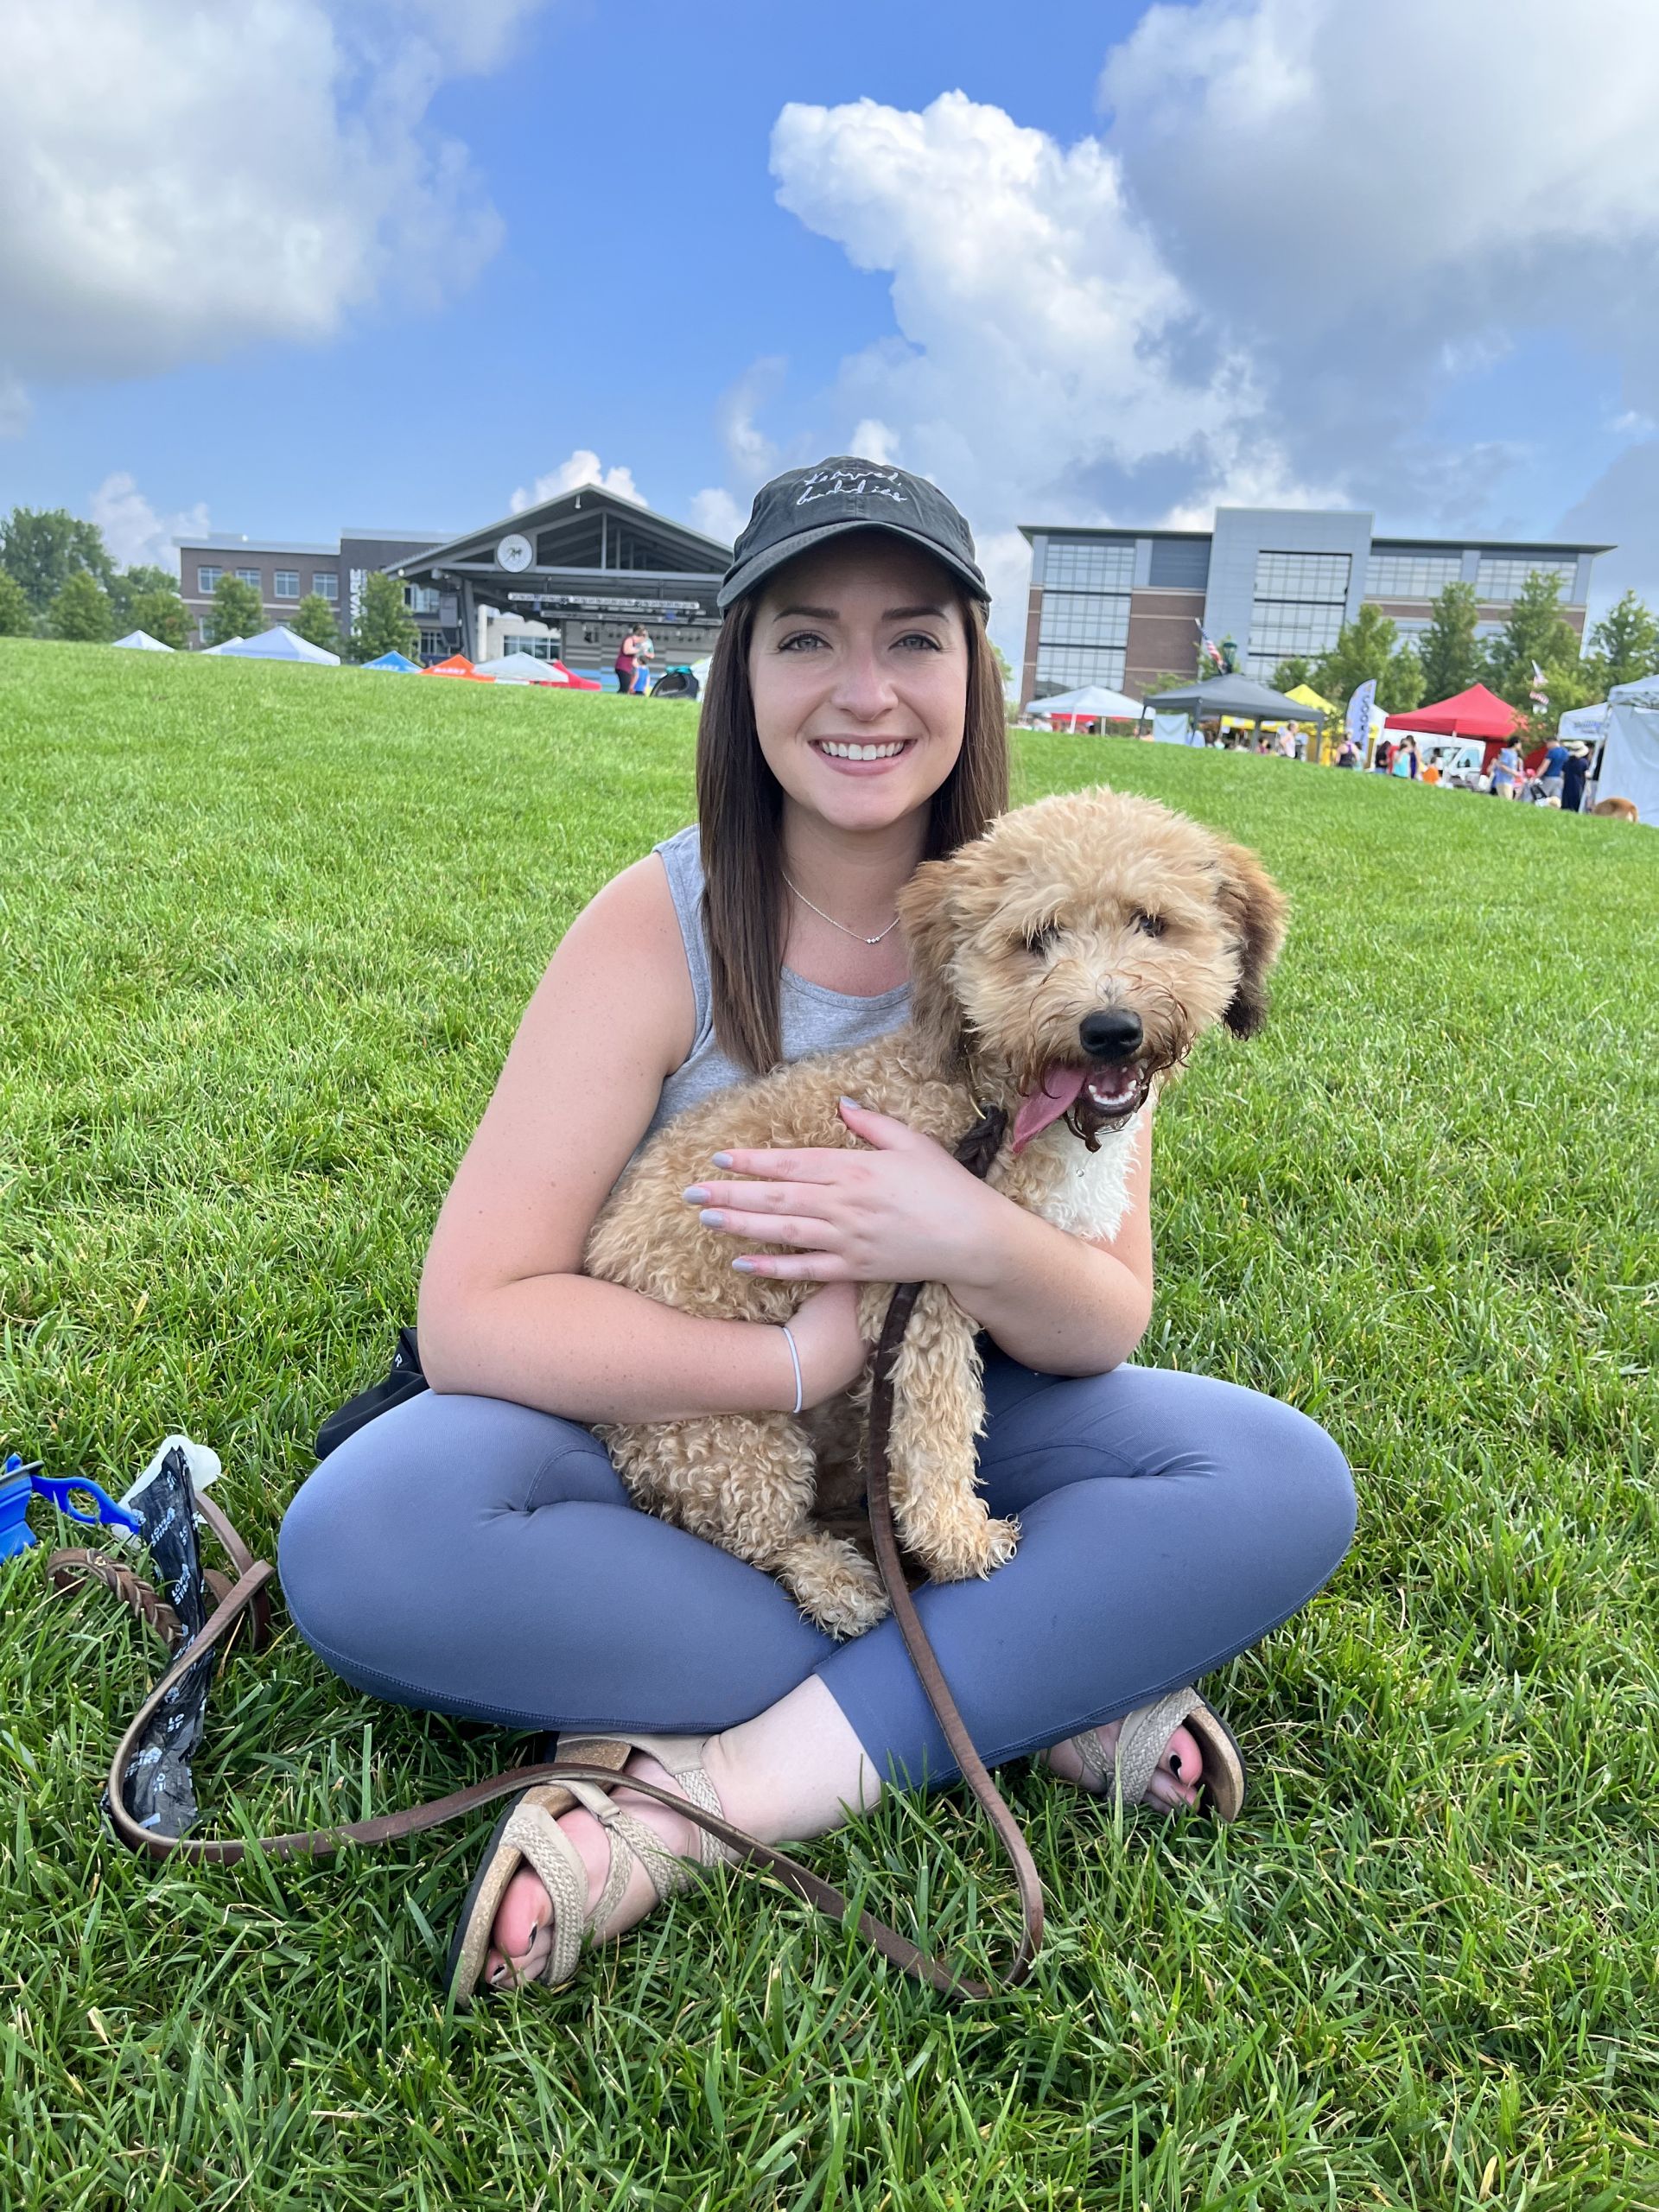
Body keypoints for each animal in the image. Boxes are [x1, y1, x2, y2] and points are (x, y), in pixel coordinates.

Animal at [583, 787, 1282, 1637]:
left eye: (1151, 921)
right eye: (1037, 938)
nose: (1110, 1030)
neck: (990, 1097)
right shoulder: (916, 1296)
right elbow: (938, 1424)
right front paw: (958, 1541)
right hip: (728, 1437)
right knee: (762, 1537)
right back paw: (837, 1580)